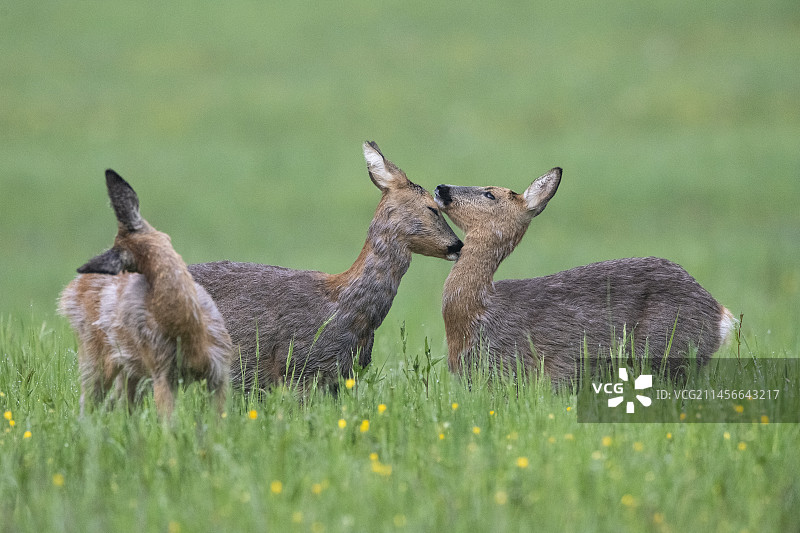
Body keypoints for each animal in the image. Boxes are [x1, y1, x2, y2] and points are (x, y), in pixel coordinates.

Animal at [57, 169, 233, 416]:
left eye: (165, 236)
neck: (190, 334)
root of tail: (71, 289)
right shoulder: (162, 373)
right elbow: (169, 421)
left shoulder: (220, 371)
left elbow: (218, 418)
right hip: (95, 355)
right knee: (89, 404)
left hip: (132, 370)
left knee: (120, 405)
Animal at [434, 168, 736, 380]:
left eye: (490, 194)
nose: (441, 187)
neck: (476, 313)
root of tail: (721, 315)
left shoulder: (508, 363)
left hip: (668, 350)